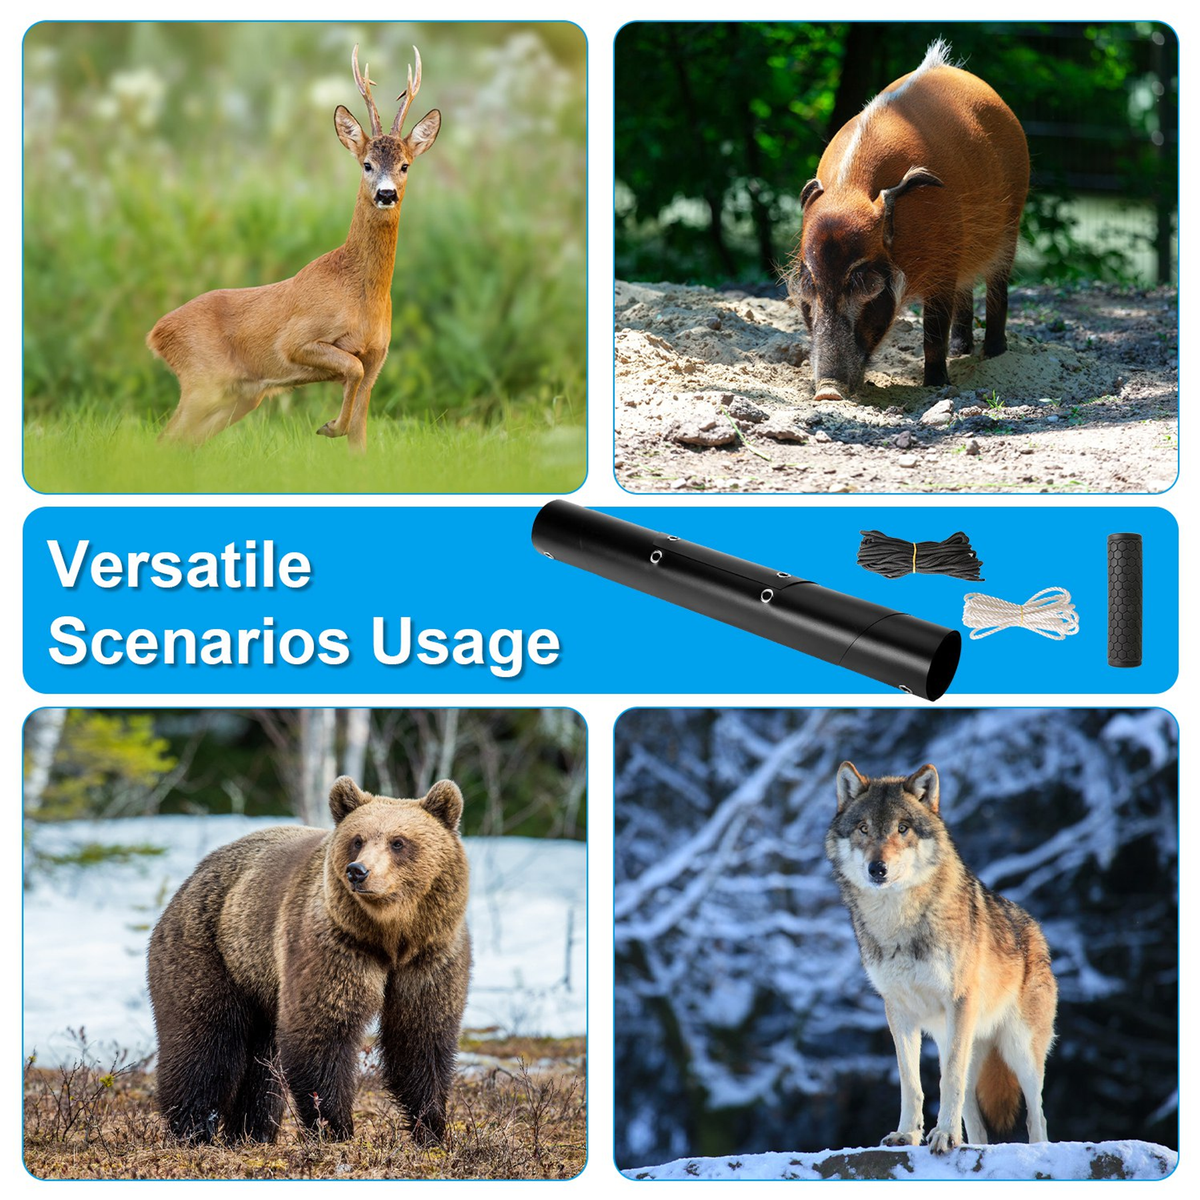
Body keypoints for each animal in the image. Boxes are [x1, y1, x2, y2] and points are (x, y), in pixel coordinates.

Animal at [147, 45, 441, 453]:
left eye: (405, 165)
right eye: (367, 164)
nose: (386, 194)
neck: (361, 295)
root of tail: (156, 333)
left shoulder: (377, 358)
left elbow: (360, 437)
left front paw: (340, 431)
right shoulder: (296, 340)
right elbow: (350, 369)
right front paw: (330, 426)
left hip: (239, 396)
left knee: (179, 443)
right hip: (202, 382)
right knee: (164, 438)